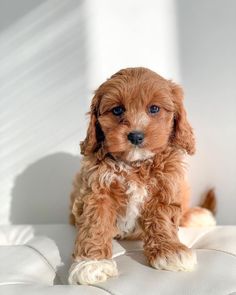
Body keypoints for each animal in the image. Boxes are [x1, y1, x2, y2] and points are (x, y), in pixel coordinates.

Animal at [68, 68, 216, 286]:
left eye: (154, 109)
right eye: (117, 110)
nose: (136, 136)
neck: (135, 164)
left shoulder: (166, 186)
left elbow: (163, 220)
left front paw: (169, 251)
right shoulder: (96, 189)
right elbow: (95, 223)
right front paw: (92, 263)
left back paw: (199, 216)